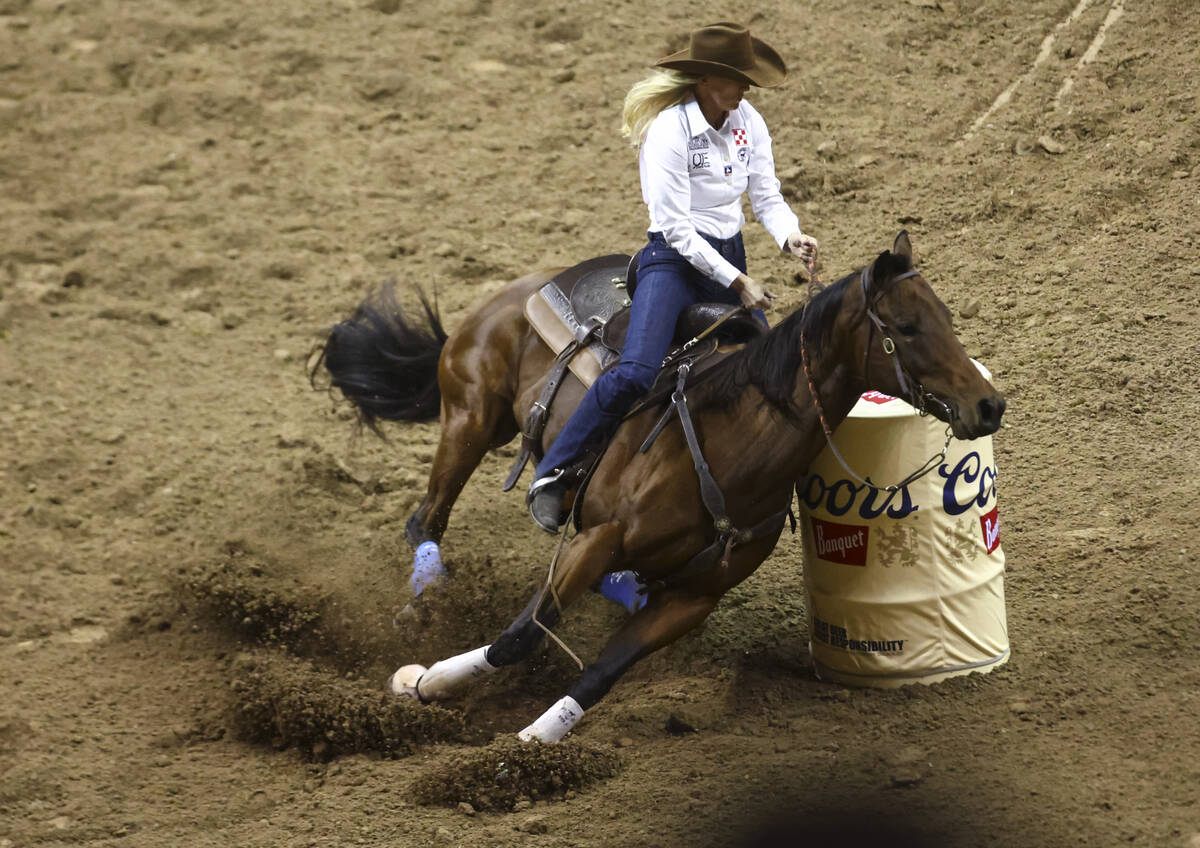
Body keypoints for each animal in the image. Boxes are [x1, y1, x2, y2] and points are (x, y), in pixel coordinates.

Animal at [316, 233, 1003, 743]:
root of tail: (523, 288)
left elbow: (599, 675)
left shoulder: (692, 597)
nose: (989, 405)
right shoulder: (595, 539)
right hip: (470, 418)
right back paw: (424, 604)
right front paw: (422, 682)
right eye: (907, 327)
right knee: (426, 519)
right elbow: (520, 638)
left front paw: (533, 743)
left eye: (947, 317)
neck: (728, 445)